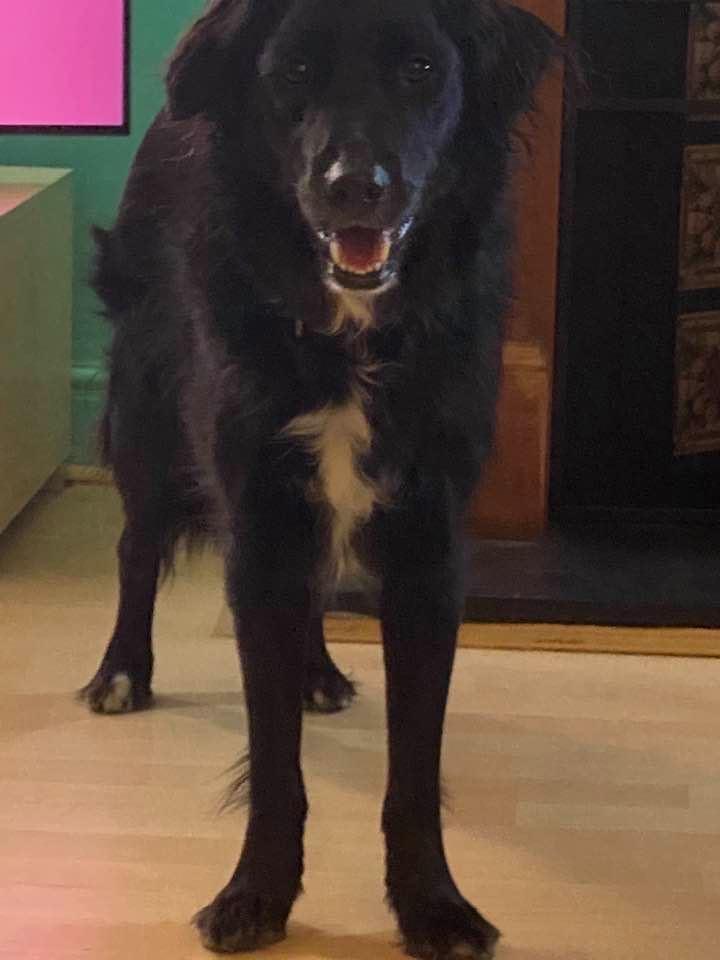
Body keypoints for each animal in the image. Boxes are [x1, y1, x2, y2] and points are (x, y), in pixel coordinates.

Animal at [80, 1, 559, 956]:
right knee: (136, 548)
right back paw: (121, 671)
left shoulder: (427, 546)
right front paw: (256, 895)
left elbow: (414, 769)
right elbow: (273, 763)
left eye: (420, 68)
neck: (350, 335)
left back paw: (317, 672)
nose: (353, 187)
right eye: (293, 72)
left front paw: (432, 905)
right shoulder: (259, 521)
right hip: (149, 413)